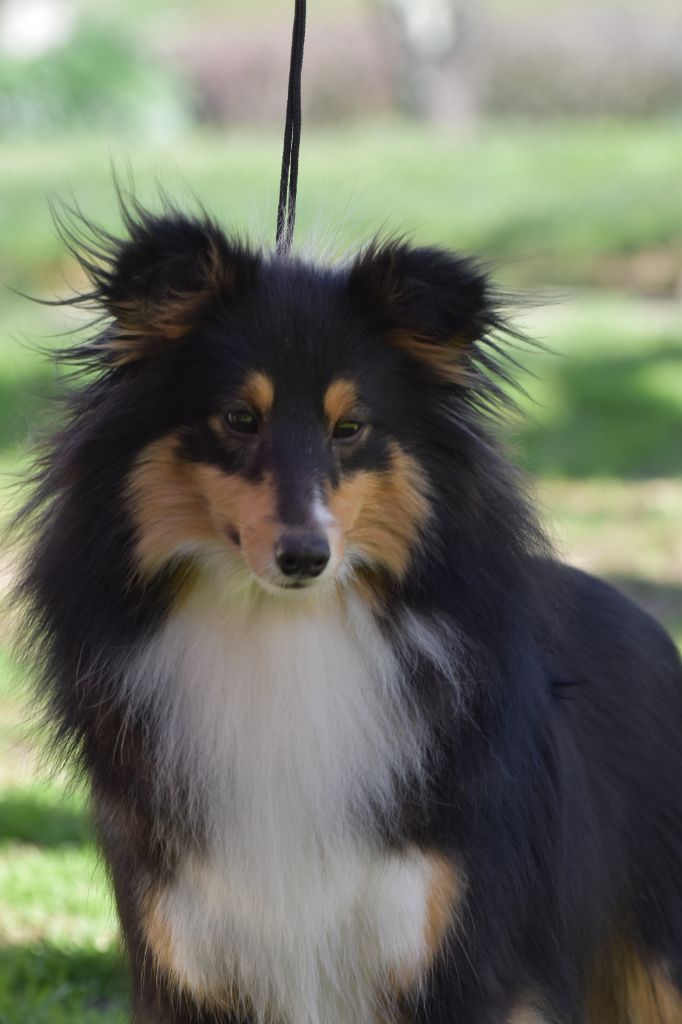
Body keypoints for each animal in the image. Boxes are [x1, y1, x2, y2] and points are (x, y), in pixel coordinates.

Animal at [13, 201, 679, 1024]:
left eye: (351, 427)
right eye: (240, 418)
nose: (305, 557)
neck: (279, 633)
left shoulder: (457, 953)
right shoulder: (190, 955)